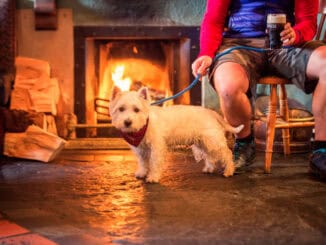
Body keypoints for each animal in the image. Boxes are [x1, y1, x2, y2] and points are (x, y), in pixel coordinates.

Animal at [108, 87, 243, 183]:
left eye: (136, 110)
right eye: (121, 109)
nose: (127, 122)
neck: (145, 125)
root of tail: (210, 112)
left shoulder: (156, 147)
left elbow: (154, 163)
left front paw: (153, 177)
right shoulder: (141, 149)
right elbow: (143, 162)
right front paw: (141, 173)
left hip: (213, 141)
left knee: (227, 154)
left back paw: (229, 171)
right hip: (203, 142)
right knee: (210, 156)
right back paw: (209, 169)